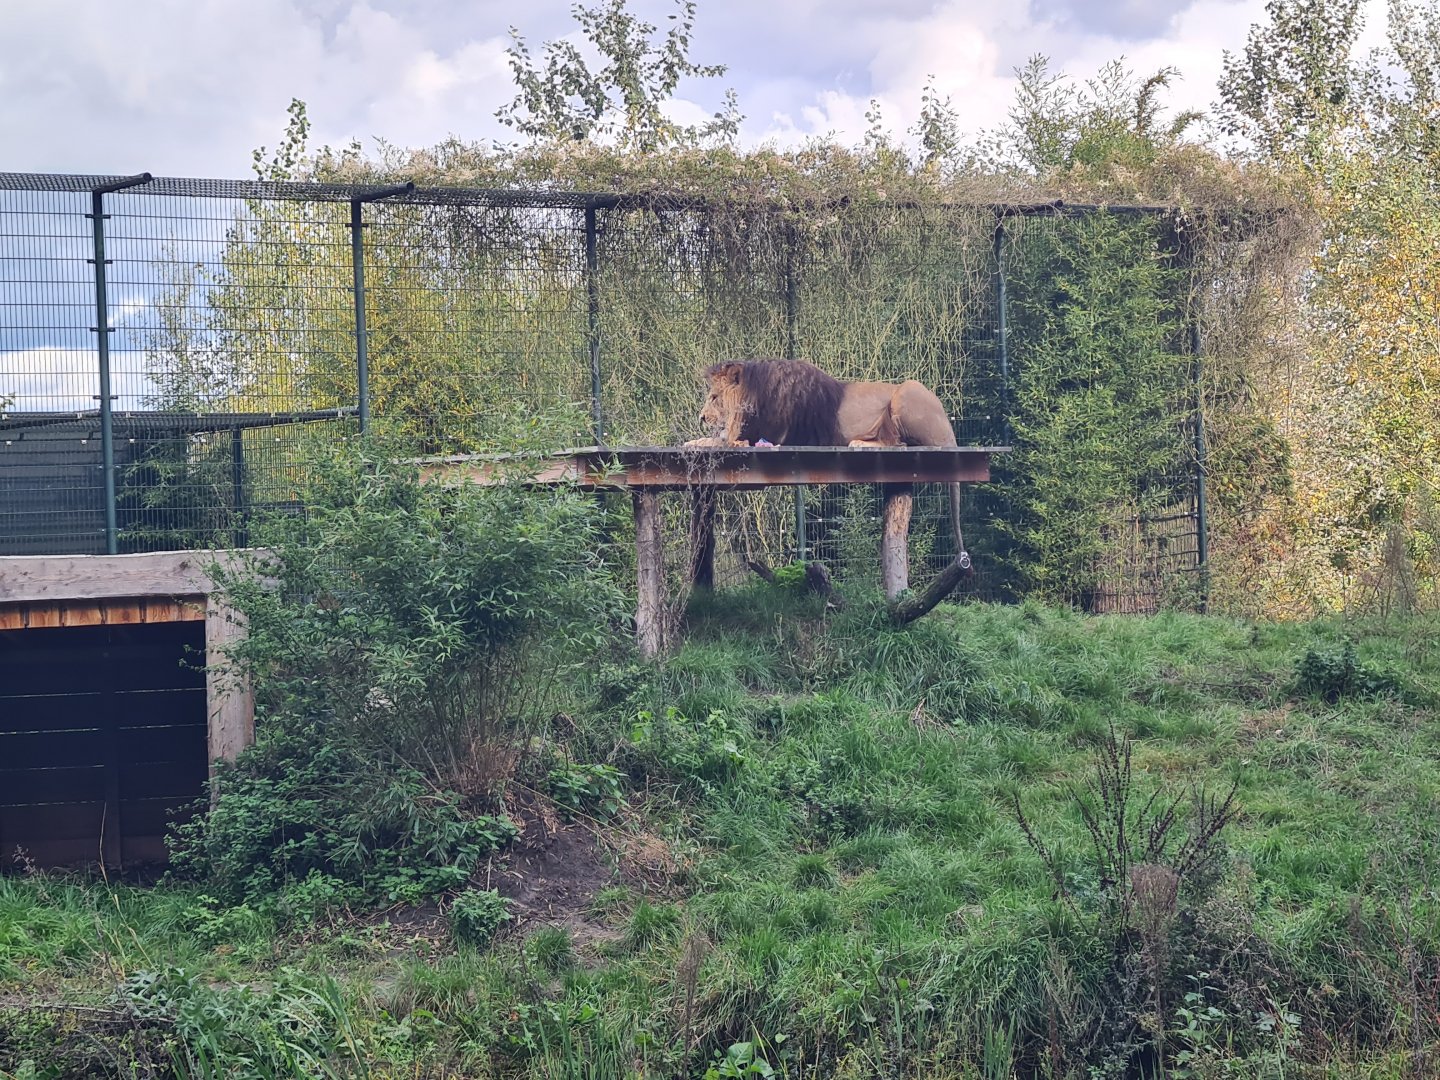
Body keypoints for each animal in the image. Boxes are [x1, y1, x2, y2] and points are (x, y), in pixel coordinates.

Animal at [685, 358, 972, 571]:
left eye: (713, 397)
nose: (701, 418)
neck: (754, 398)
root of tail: (948, 426)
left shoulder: (766, 439)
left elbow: (720, 442)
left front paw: (695, 441)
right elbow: (713, 439)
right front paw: (693, 440)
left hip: (907, 391)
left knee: (901, 445)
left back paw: (859, 443)